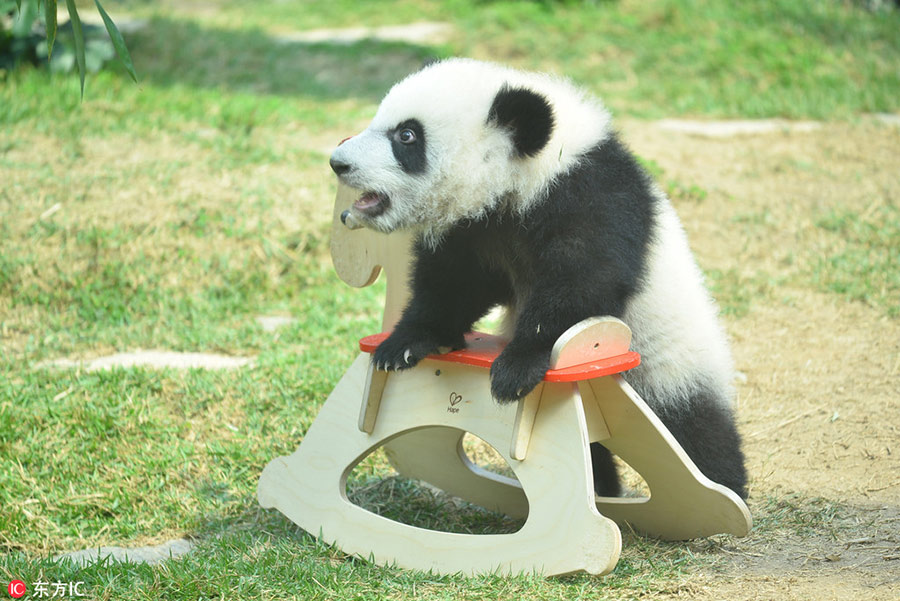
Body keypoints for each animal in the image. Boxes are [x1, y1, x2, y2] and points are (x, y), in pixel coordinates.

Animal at [329, 58, 747, 499]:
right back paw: (605, 489)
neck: (534, 172)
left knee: (693, 429)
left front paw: (517, 368)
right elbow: (456, 283)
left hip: (666, 357)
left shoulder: (588, 196)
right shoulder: (476, 228)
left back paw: (724, 487)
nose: (339, 162)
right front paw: (404, 344)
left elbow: (583, 283)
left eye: (406, 136)